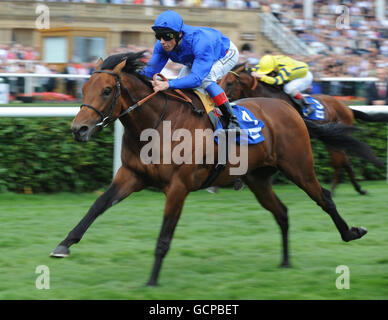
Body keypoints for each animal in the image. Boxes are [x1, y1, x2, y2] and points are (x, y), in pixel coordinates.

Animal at [220, 63, 386, 195]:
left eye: (229, 83)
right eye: (219, 81)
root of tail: (347, 108)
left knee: (343, 161)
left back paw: (347, 188)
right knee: (344, 161)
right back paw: (351, 188)